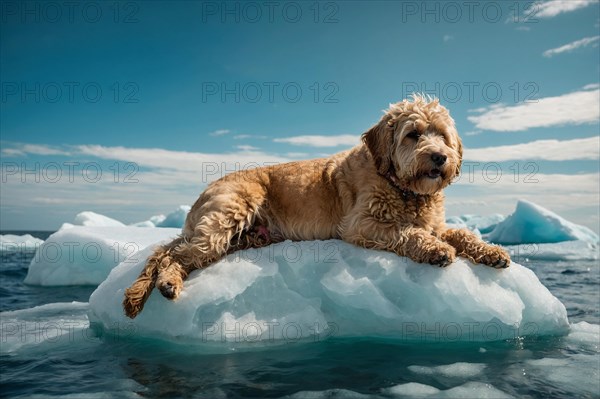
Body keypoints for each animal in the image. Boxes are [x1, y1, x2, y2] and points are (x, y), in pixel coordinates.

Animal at [124, 94, 508, 318]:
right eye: (413, 134)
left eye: (442, 135)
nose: (440, 157)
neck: (402, 187)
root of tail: (199, 198)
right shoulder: (362, 223)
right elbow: (408, 231)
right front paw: (436, 250)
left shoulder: (436, 223)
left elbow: (461, 234)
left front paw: (492, 252)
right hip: (225, 218)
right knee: (173, 256)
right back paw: (168, 283)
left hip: (241, 236)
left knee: (173, 252)